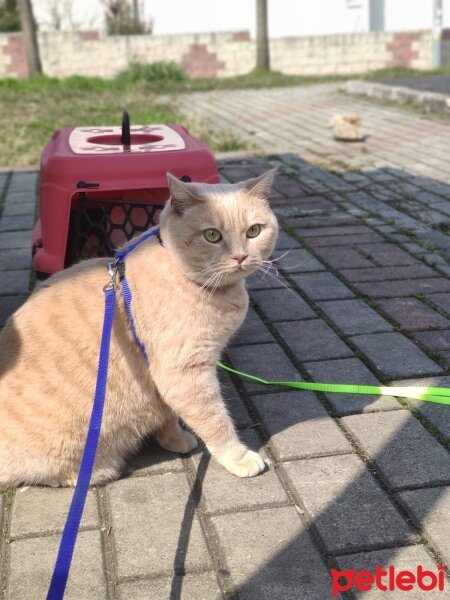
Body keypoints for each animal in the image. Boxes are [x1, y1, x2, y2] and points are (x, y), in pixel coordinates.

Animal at [0, 169, 278, 488]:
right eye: (212, 235)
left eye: (254, 231)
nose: (241, 257)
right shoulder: (184, 371)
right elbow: (215, 420)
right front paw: (238, 457)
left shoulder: (165, 378)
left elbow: (168, 413)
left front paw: (173, 438)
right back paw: (100, 470)